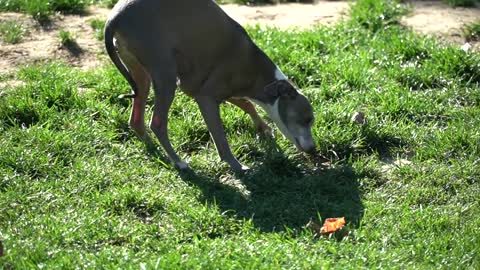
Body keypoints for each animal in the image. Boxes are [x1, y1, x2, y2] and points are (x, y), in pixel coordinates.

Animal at [104, 0, 316, 172]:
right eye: (306, 119)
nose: (314, 150)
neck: (255, 67)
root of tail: (115, 17)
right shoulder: (205, 97)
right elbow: (220, 138)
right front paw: (236, 165)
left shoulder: (218, 89)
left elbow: (247, 104)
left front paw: (263, 128)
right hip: (165, 76)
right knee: (157, 123)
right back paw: (178, 162)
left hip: (140, 74)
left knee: (136, 120)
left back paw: (154, 148)